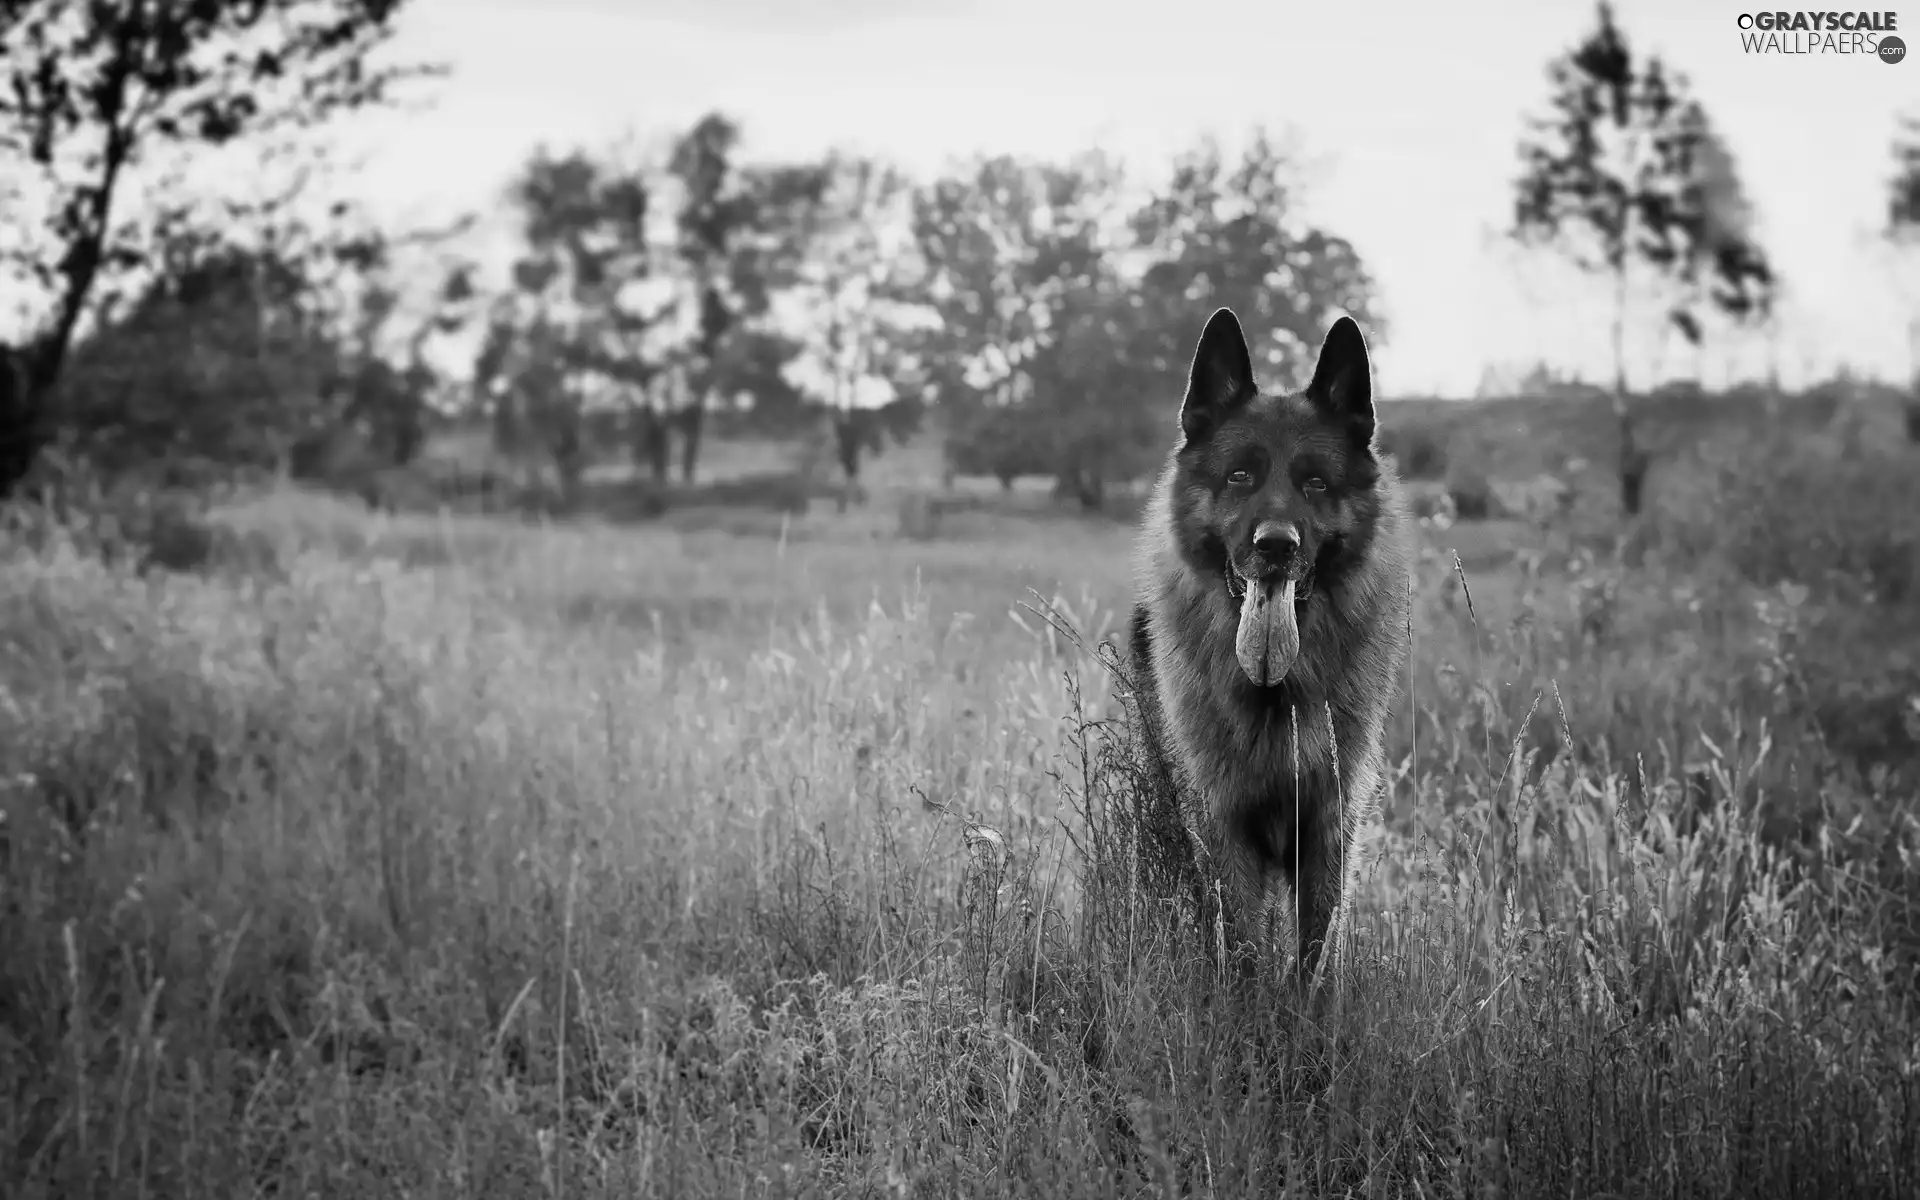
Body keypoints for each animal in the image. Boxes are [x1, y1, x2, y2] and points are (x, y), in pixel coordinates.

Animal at [1121, 303, 1413, 990]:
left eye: (1315, 483)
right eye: (1240, 475)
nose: (1276, 545)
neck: (1276, 692)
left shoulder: (1329, 832)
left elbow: (1314, 963)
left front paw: (1305, 1019)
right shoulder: (1225, 831)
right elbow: (1246, 953)